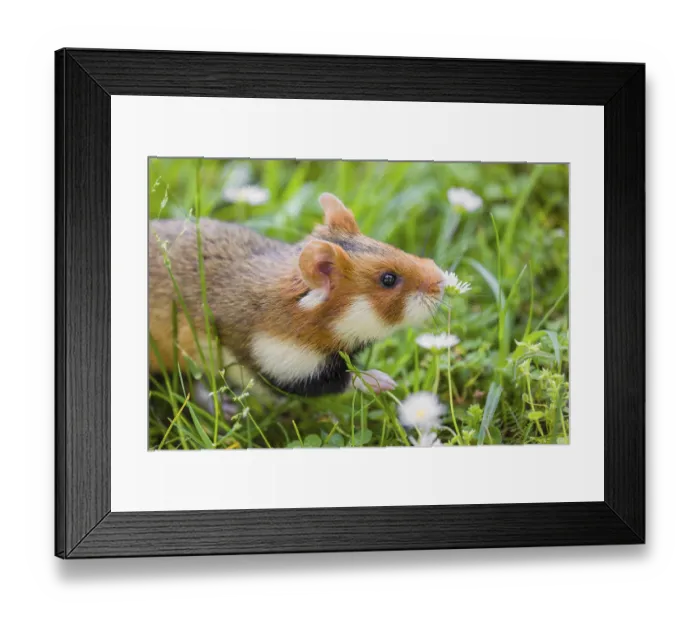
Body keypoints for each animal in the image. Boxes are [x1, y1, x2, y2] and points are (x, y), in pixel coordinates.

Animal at [149, 193, 446, 399]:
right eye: (388, 279)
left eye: (392, 246)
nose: (442, 281)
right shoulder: (277, 364)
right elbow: (341, 381)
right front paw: (384, 381)